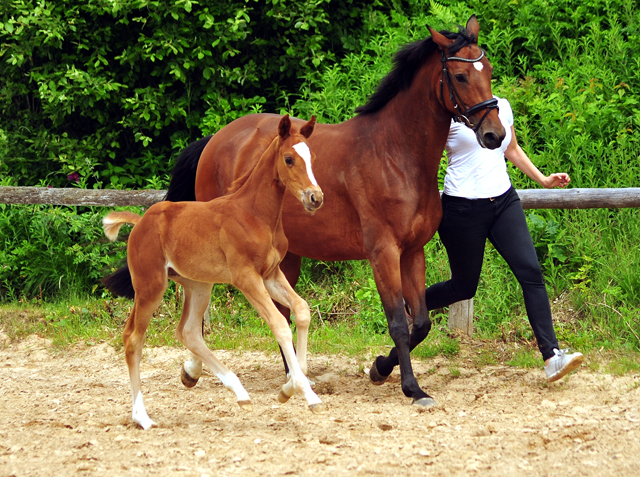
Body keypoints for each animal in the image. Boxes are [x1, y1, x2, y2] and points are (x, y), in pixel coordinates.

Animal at [104, 114, 324, 428]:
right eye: (289, 159)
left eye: (313, 158)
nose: (315, 198)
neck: (255, 214)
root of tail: (141, 221)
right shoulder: (247, 278)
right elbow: (280, 325)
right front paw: (308, 395)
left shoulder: (270, 274)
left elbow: (302, 310)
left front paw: (290, 387)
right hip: (150, 286)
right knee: (133, 338)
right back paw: (142, 417)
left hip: (198, 285)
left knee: (188, 332)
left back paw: (238, 391)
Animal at [162, 16, 502, 408]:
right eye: (460, 76)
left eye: (488, 69)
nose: (495, 134)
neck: (395, 154)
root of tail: (215, 139)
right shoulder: (383, 253)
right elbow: (399, 323)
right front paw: (412, 389)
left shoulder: (412, 252)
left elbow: (420, 323)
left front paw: (379, 369)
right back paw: (193, 370)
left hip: (284, 256)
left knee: (283, 311)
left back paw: (292, 378)